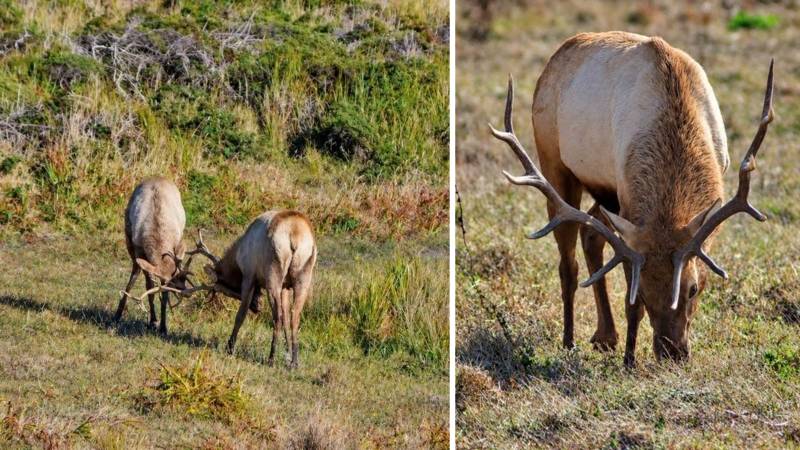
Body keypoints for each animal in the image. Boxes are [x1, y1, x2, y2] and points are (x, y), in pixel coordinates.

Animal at [114, 177, 193, 334]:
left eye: (179, 278)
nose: (187, 292)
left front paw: (163, 326)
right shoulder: (139, 249)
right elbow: (149, 287)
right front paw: (153, 321)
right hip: (128, 236)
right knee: (134, 272)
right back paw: (118, 313)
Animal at [490, 32, 773, 366]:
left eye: (692, 289)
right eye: (645, 294)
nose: (672, 352)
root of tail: (556, 57)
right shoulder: (629, 208)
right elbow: (629, 297)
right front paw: (629, 359)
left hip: (605, 192)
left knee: (590, 233)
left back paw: (604, 336)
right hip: (555, 163)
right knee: (568, 262)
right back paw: (570, 340)